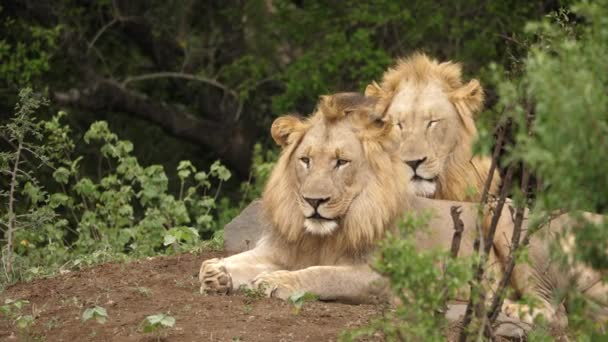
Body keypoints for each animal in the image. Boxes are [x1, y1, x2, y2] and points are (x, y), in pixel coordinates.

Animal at [198, 91, 604, 332]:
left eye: (342, 162)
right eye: (306, 160)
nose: (313, 202)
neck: (323, 234)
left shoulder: (380, 277)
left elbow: (321, 274)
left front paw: (278, 282)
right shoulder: (281, 249)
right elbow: (223, 263)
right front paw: (217, 274)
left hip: (506, 222)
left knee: (552, 311)